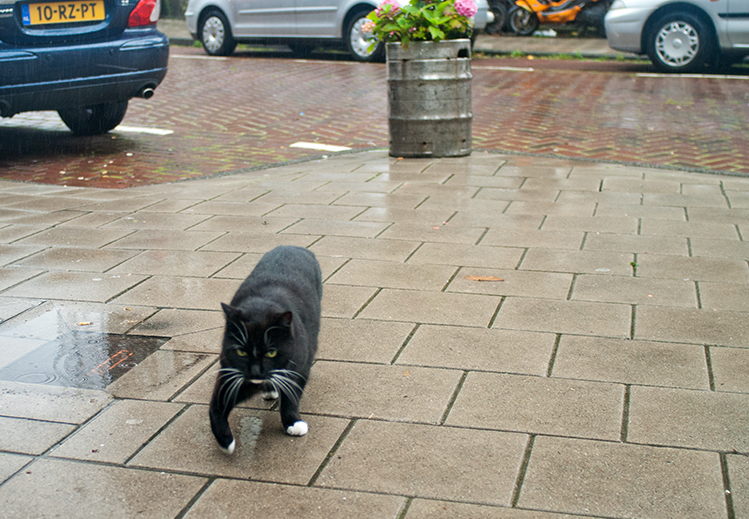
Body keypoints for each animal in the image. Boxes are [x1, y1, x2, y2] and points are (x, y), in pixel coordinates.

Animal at [207, 246, 322, 452]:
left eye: (271, 352)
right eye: (241, 352)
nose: (255, 371)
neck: (261, 305)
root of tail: (293, 247)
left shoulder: (299, 365)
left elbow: (291, 396)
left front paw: (293, 422)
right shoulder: (231, 371)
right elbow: (217, 405)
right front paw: (225, 441)